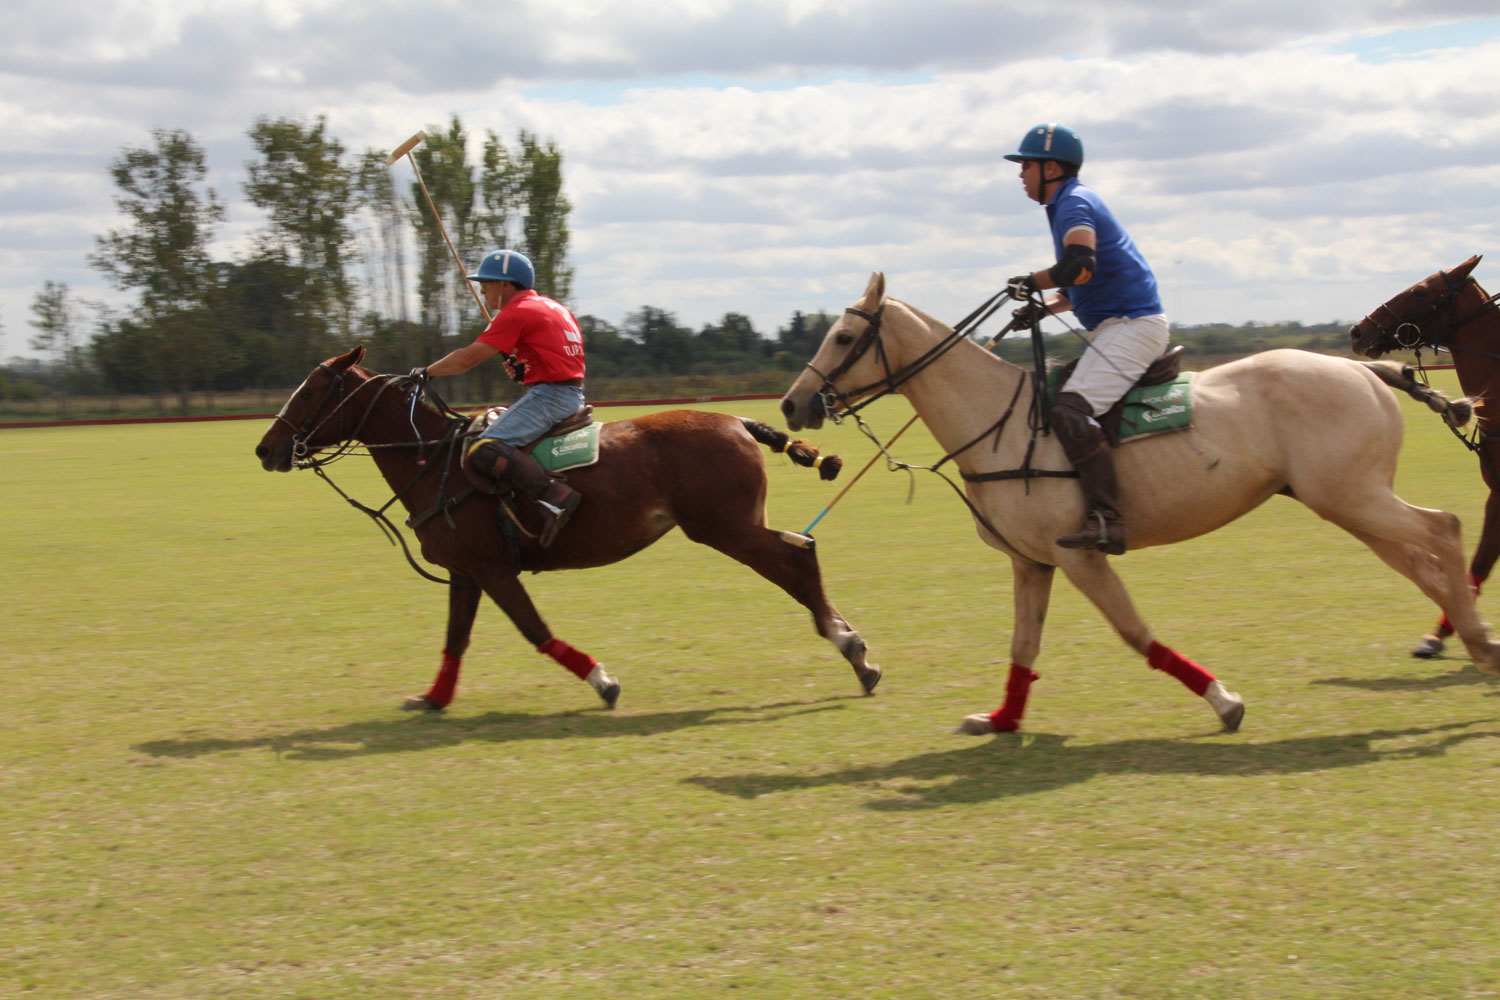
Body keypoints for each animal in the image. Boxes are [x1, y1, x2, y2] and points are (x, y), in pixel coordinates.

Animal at [249, 347, 876, 707]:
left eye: (312, 391)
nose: (265, 449)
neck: (432, 459)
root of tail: (740, 420)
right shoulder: (465, 570)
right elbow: (455, 637)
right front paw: (432, 698)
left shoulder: (492, 567)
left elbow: (534, 629)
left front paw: (603, 681)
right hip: (733, 524)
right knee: (800, 552)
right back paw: (854, 652)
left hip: (724, 527)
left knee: (798, 558)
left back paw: (854, 651)